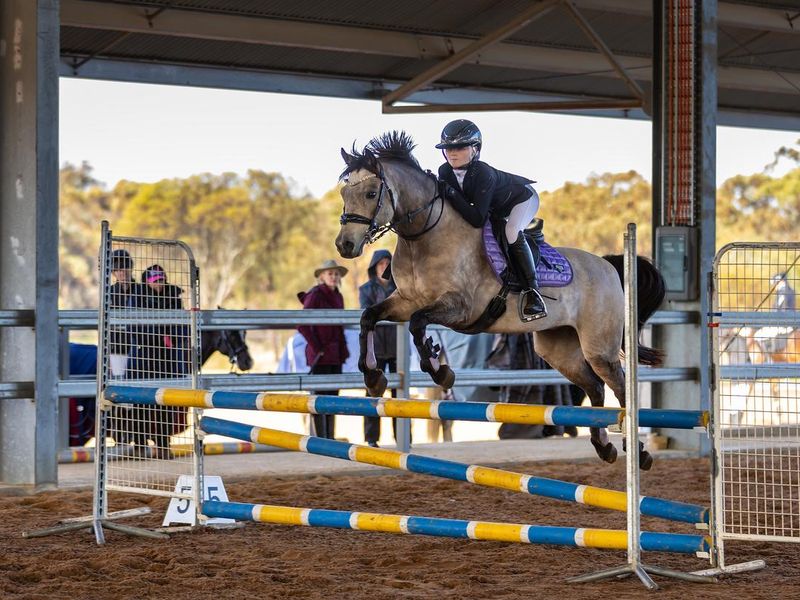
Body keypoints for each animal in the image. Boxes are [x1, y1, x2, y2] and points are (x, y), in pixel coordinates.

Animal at [335, 132, 666, 469]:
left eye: (371, 193)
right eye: (345, 192)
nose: (345, 245)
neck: (423, 236)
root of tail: (608, 265)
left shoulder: (461, 307)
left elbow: (418, 325)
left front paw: (441, 370)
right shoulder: (405, 301)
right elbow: (369, 316)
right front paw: (373, 377)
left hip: (599, 347)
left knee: (620, 388)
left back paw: (638, 452)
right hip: (558, 349)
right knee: (596, 388)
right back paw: (604, 447)